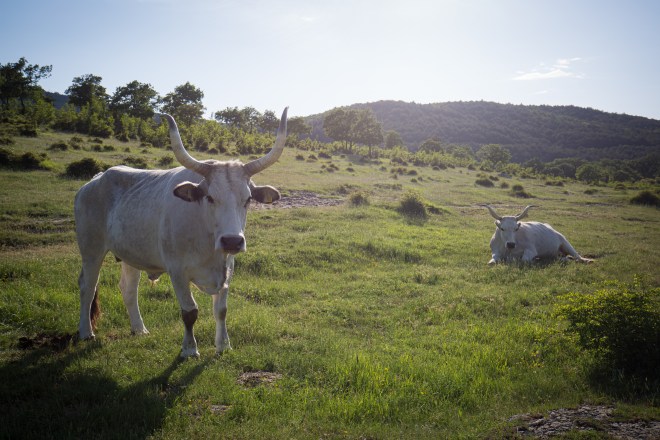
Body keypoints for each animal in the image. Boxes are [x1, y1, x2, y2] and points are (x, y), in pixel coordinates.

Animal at [74, 108, 288, 357]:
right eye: (210, 197)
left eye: (248, 199)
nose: (232, 241)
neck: (207, 240)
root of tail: (94, 180)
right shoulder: (177, 271)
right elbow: (190, 312)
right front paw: (189, 349)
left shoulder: (228, 269)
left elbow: (221, 310)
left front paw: (223, 345)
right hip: (91, 249)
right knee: (87, 286)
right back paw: (86, 332)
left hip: (131, 254)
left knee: (128, 289)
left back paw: (139, 328)